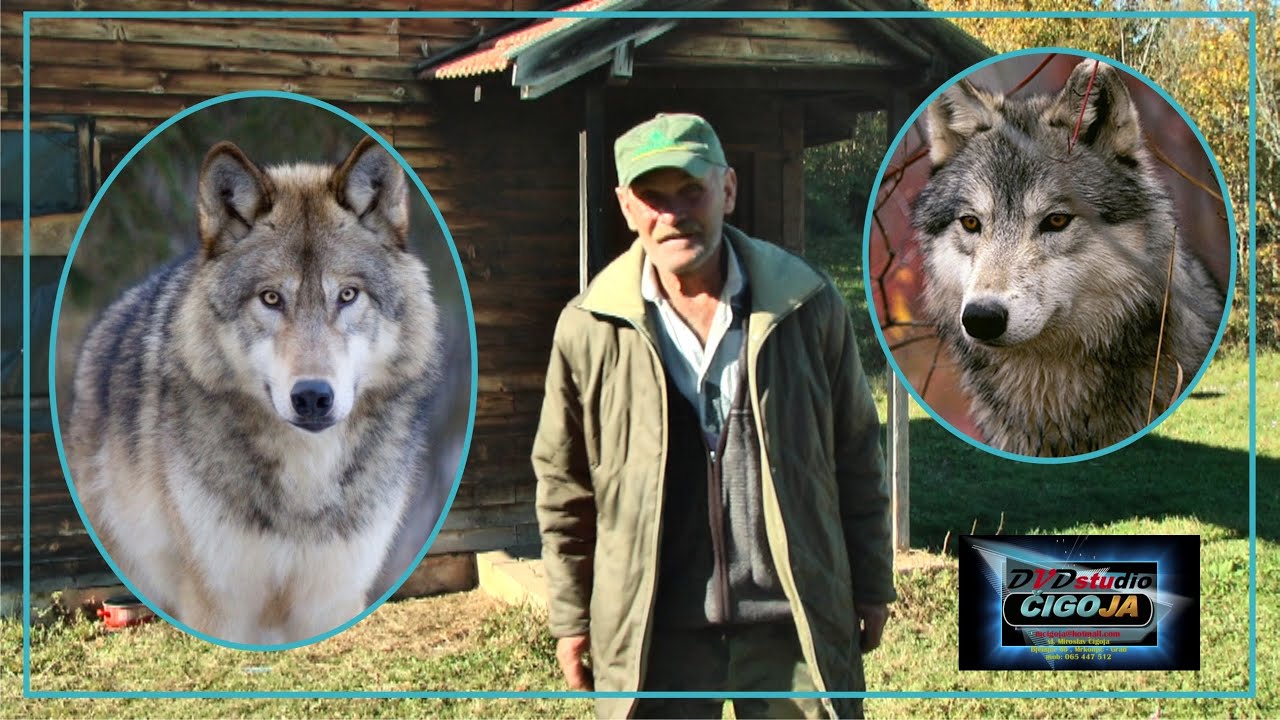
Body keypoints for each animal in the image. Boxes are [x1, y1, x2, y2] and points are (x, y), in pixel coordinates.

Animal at [65, 137, 442, 644]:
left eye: (347, 295)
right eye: (270, 298)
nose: (312, 397)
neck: (306, 480)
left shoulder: (333, 599)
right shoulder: (218, 603)